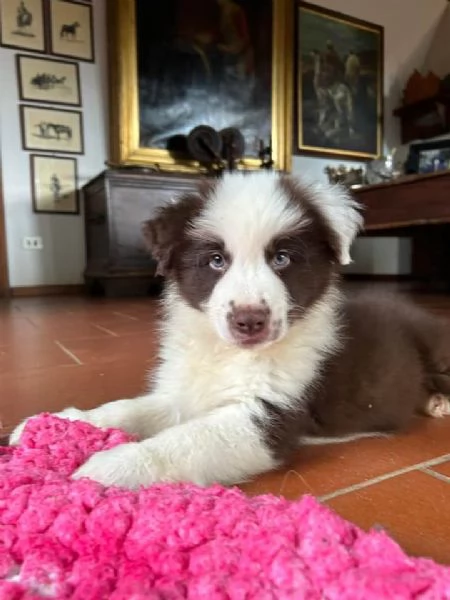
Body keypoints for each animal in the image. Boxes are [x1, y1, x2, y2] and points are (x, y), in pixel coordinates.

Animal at [7, 170, 450, 488]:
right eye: (216, 260)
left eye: (282, 258)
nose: (250, 320)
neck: (229, 354)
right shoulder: (184, 392)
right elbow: (127, 408)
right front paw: (56, 424)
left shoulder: (269, 415)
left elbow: (186, 440)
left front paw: (111, 467)